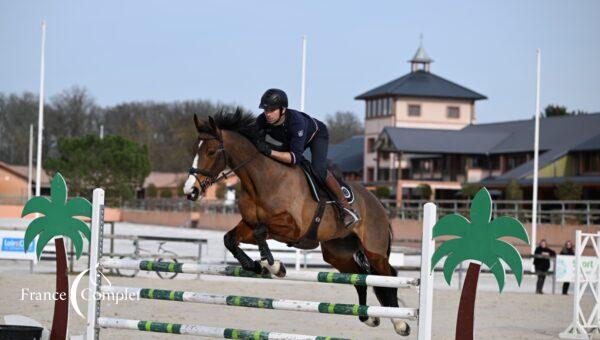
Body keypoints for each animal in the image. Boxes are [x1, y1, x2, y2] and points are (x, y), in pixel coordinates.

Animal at [182, 110, 408, 336]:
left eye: (211, 152)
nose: (190, 191)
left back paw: (400, 322)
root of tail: (378, 203)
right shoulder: (249, 224)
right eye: (195, 150)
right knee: (361, 278)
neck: (262, 180)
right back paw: (369, 317)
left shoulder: (294, 229)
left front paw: (273, 265)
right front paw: (258, 266)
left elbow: (261, 232)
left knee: (388, 277)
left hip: (374, 251)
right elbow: (231, 239)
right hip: (337, 252)